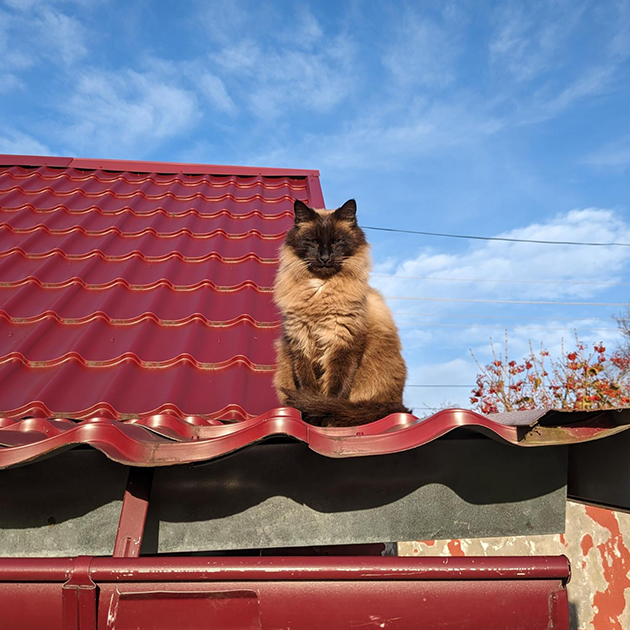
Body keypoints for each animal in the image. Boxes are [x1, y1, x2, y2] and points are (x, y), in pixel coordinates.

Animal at [272, 200, 410, 428]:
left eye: (337, 242)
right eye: (313, 242)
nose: (325, 258)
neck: (321, 289)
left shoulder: (343, 344)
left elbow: (334, 394)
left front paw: (324, 418)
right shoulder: (300, 342)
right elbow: (307, 388)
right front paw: (310, 418)